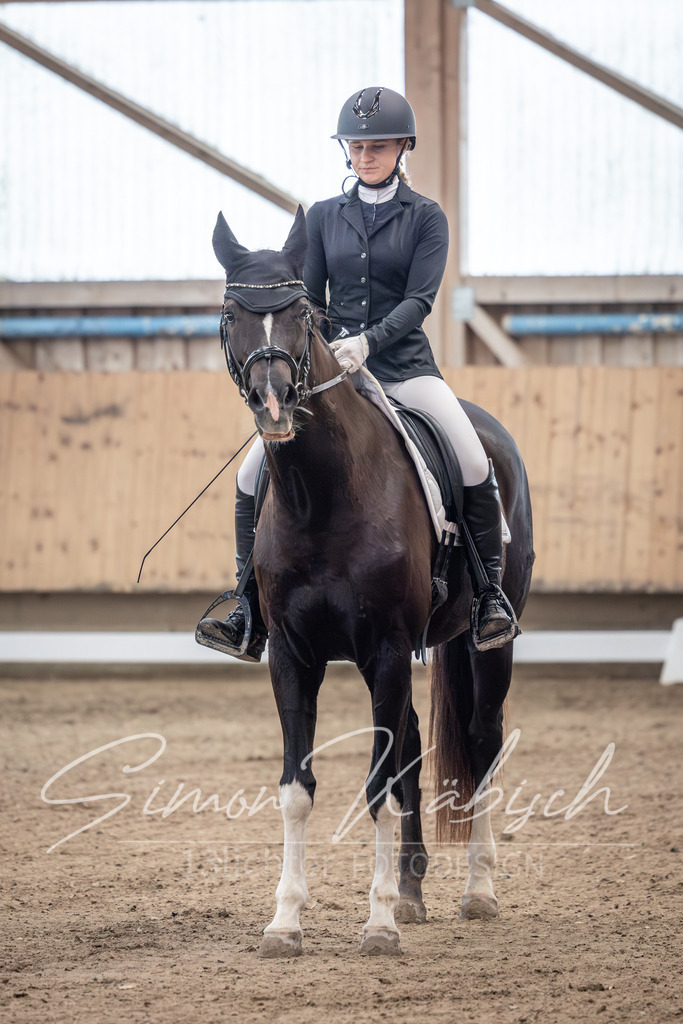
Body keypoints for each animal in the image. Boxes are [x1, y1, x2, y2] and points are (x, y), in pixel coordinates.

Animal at [211, 207, 534, 957]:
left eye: (300, 311)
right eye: (232, 312)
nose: (273, 403)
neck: (322, 495)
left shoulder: (386, 647)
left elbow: (379, 784)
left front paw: (378, 923)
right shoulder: (292, 654)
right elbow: (298, 786)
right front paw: (286, 921)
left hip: (487, 642)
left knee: (481, 739)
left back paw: (477, 889)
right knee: (414, 743)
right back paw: (414, 891)